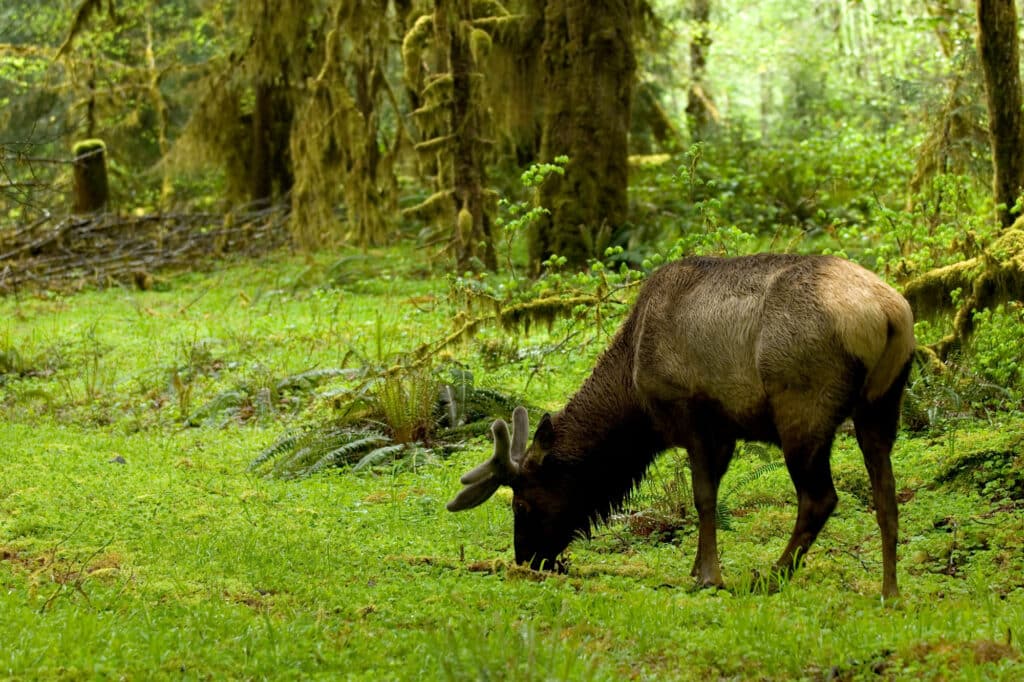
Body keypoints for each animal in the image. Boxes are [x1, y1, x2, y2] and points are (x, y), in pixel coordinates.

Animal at [446, 251, 913, 593]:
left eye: (521, 503)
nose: (526, 559)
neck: (634, 400)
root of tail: (891, 315)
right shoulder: (723, 430)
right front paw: (697, 567)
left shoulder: (693, 415)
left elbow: (703, 498)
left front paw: (708, 575)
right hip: (882, 405)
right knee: (886, 496)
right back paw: (890, 591)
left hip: (802, 406)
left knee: (820, 498)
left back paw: (770, 576)